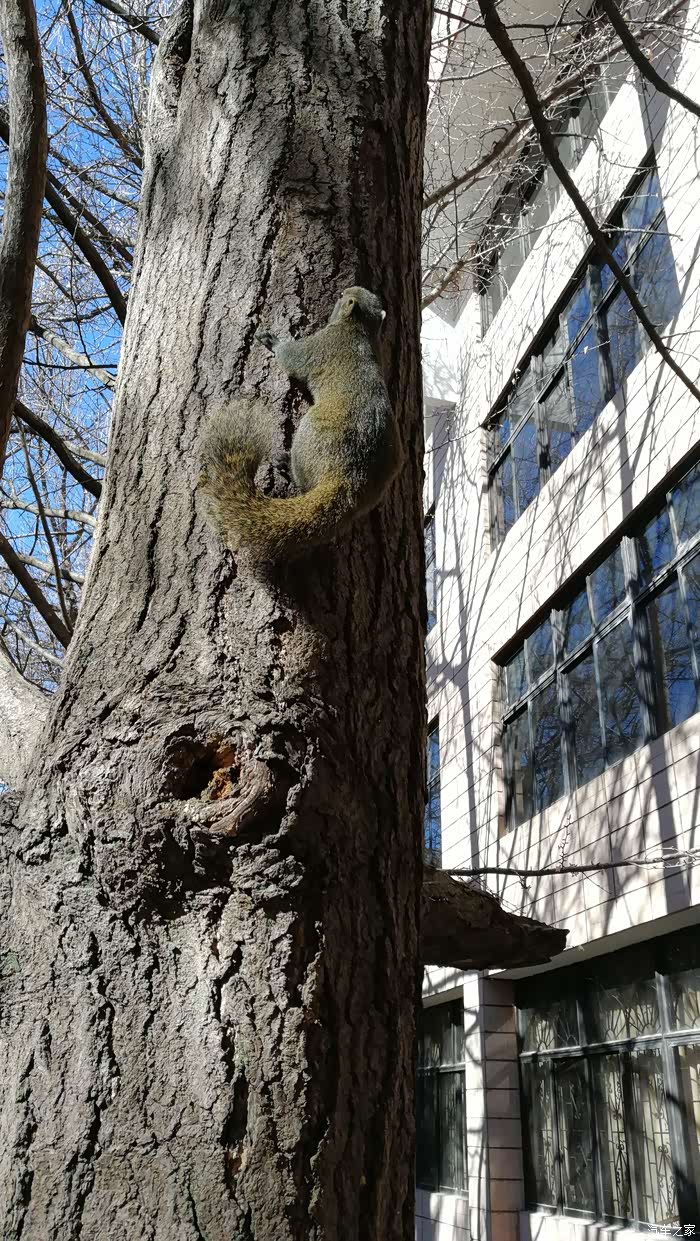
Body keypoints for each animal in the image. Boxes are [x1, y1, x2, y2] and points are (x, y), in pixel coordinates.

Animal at [199, 286, 402, 562]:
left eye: (343, 296)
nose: (340, 292)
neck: (360, 330)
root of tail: (350, 480)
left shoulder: (319, 345)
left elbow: (291, 358)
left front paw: (273, 341)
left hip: (310, 434)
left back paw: (285, 463)